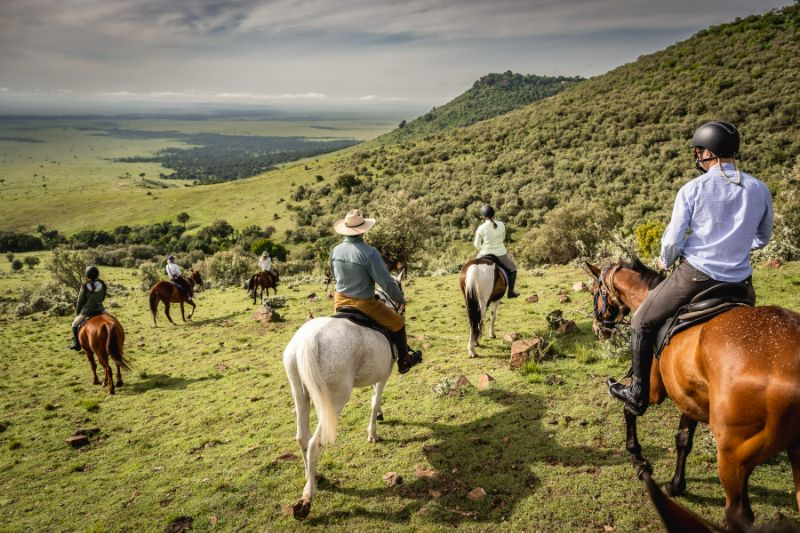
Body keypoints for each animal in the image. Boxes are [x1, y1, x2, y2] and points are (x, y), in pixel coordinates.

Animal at [284, 272, 404, 516]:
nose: (402, 306)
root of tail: (310, 338)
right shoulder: (383, 375)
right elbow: (375, 400)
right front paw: (373, 432)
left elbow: (373, 398)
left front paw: (379, 416)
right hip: (335, 400)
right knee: (314, 443)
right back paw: (307, 497)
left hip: (300, 395)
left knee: (302, 437)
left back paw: (313, 477)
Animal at [584, 258, 800, 528]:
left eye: (595, 292)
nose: (597, 328)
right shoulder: (689, 397)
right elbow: (683, 440)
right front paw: (676, 485)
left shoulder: (650, 390)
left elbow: (630, 409)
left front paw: (638, 459)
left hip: (733, 456)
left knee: (738, 514)